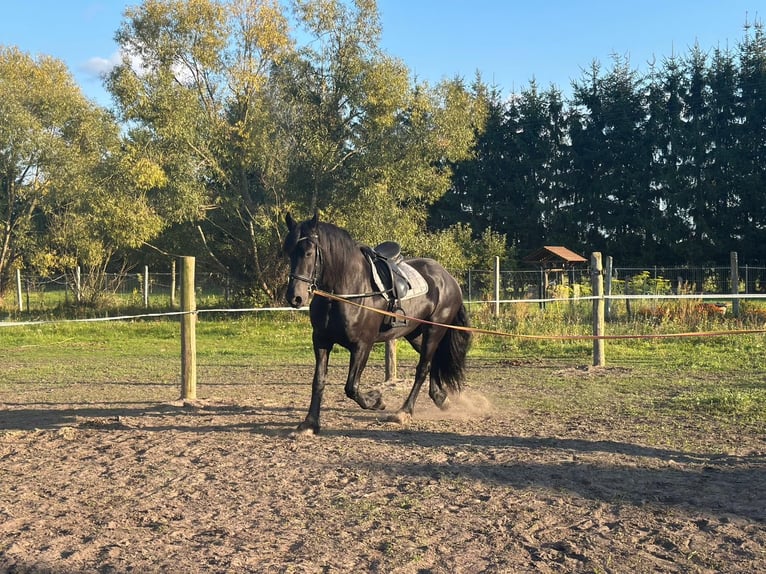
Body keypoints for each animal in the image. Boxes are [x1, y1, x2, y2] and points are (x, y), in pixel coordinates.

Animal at [284, 212, 472, 435]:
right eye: (288, 252)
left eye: (309, 253)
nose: (294, 298)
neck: (347, 289)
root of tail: (448, 278)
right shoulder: (321, 341)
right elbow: (318, 381)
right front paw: (310, 423)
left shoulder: (362, 345)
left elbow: (351, 387)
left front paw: (376, 400)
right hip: (416, 333)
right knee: (434, 360)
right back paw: (440, 398)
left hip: (435, 330)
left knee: (423, 368)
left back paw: (404, 412)